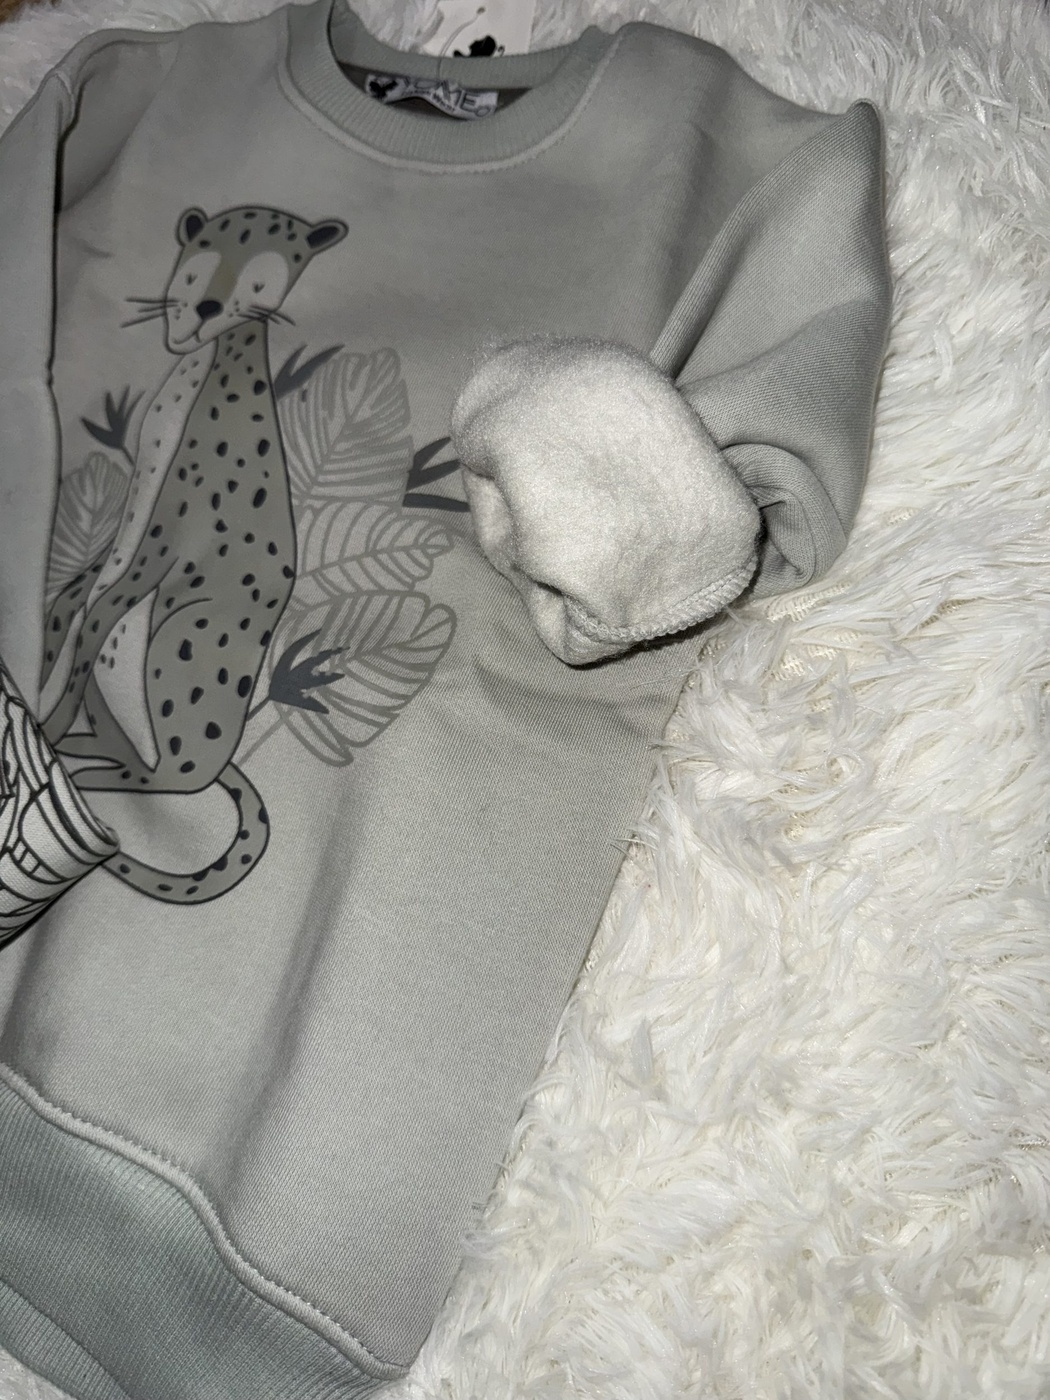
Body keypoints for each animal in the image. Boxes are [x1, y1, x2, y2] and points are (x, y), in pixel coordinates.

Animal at [39, 205, 347, 904]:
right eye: (200, 258)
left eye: (262, 277)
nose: (205, 307)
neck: (203, 371)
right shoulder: (118, 548)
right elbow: (70, 608)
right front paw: (40, 699)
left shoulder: (167, 548)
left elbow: (93, 620)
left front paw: (45, 727)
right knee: (138, 757)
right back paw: (86, 756)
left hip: (181, 637)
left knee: (171, 779)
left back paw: (84, 780)